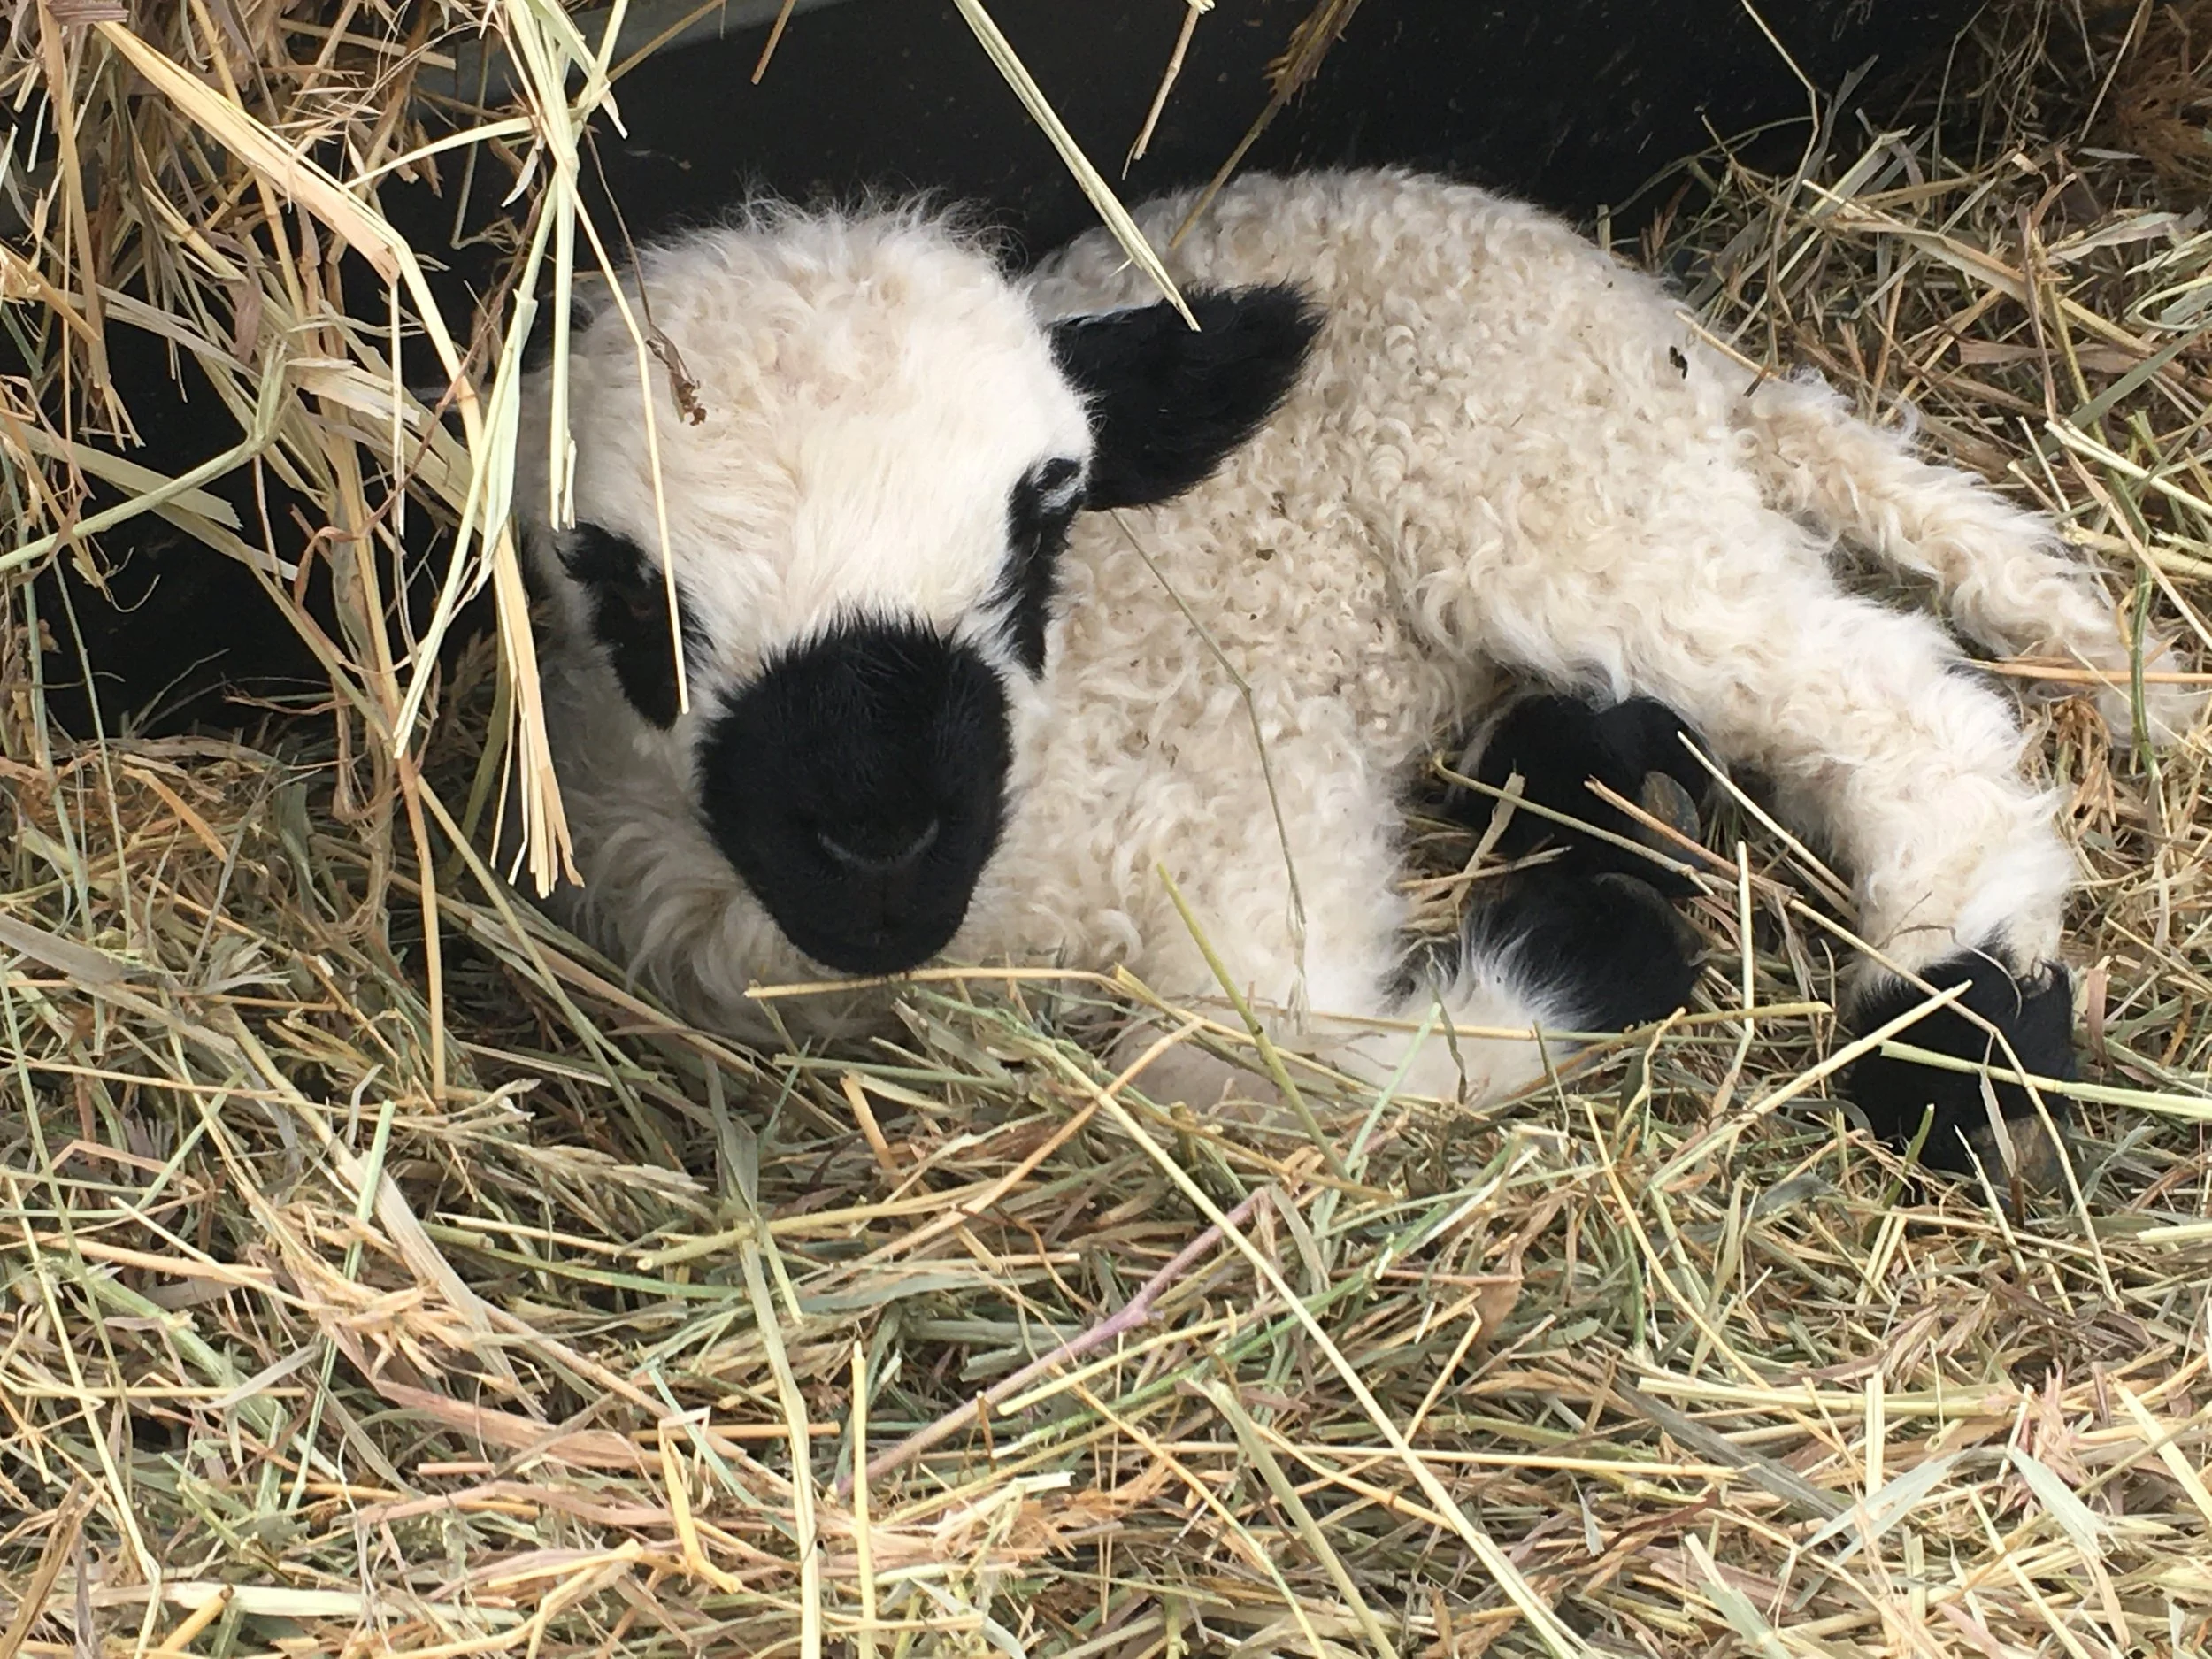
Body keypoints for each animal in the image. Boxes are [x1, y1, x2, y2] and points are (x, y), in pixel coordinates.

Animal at [511, 168, 2195, 1178]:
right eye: (627, 588)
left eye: (1043, 522)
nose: (880, 845)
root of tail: (1675, 340)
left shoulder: (1260, 802)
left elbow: (1240, 1064)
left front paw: (1597, 952)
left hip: (1548, 500)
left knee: (1900, 702)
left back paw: (1957, 1024)